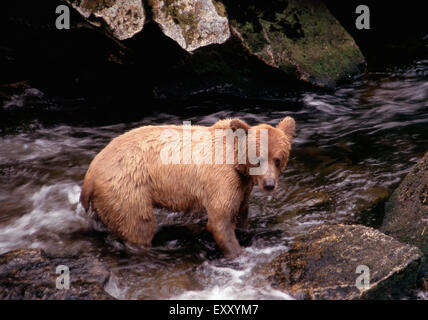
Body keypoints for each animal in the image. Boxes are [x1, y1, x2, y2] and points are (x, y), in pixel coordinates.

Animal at [80, 117, 294, 258]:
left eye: (278, 159)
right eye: (258, 159)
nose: (269, 184)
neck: (236, 163)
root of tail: (90, 172)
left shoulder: (242, 187)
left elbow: (241, 214)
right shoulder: (221, 181)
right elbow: (220, 221)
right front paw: (239, 253)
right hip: (127, 188)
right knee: (138, 225)